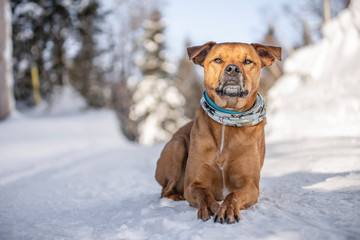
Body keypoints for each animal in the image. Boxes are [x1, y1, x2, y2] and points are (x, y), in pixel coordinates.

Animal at [155, 41, 282, 223]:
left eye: (248, 61)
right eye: (217, 59)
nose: (233, 69)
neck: (228, 116)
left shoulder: (250, 185)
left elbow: (233, 195)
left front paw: (227, 209)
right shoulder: (193, 183)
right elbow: (203, 193)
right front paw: (209, 206)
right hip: (176, 146)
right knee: (165, 191)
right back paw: (176, 196)